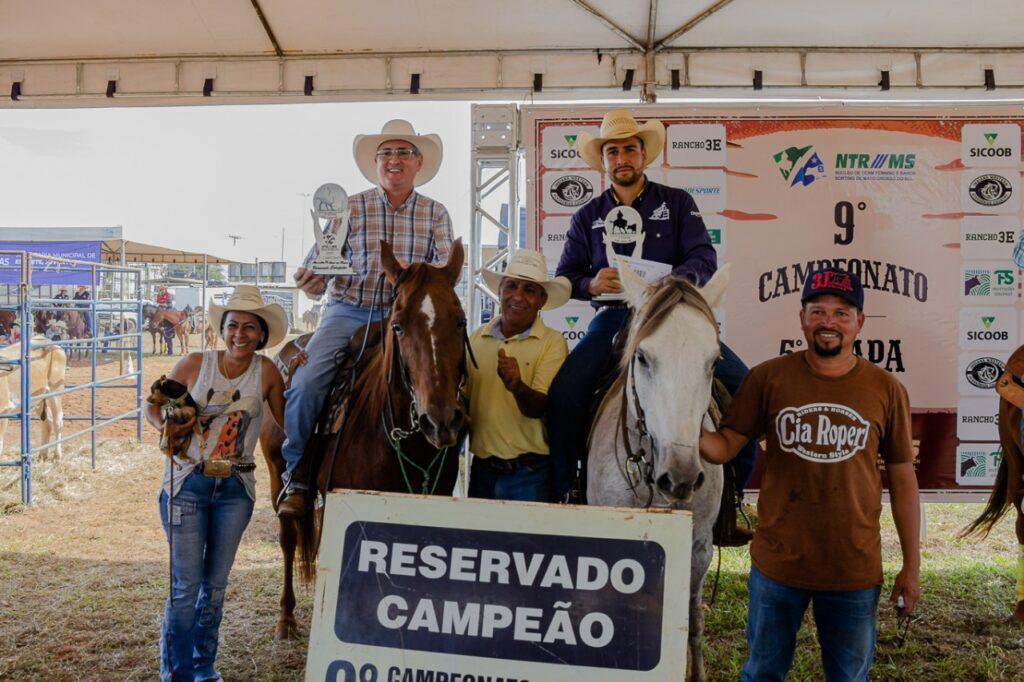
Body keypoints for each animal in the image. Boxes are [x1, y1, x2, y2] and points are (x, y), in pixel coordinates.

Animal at [256, 238, 468, 638]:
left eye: (462, 321)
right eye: (397, 326)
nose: (440, 420)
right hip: (278, 471)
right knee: (289, 537)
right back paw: (286, 617)